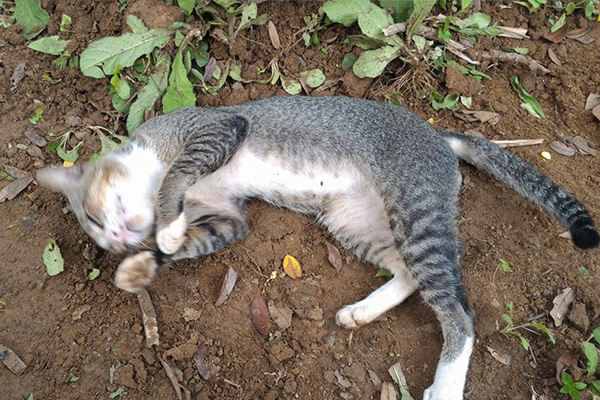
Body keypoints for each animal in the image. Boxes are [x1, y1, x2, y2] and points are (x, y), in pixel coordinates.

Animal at [38, 95, 600, 398]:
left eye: (93, 216)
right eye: (96, 232)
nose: (115, 239)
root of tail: (437, 134)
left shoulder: (217, 127)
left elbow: (177, 177)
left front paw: (164, 229)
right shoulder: (230, 219)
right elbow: (189, 240)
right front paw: (143, 264)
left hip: (415, 209)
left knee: (460, 312)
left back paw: (445, 386)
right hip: (353, 220)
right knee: (408, 274)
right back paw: (361, 312)